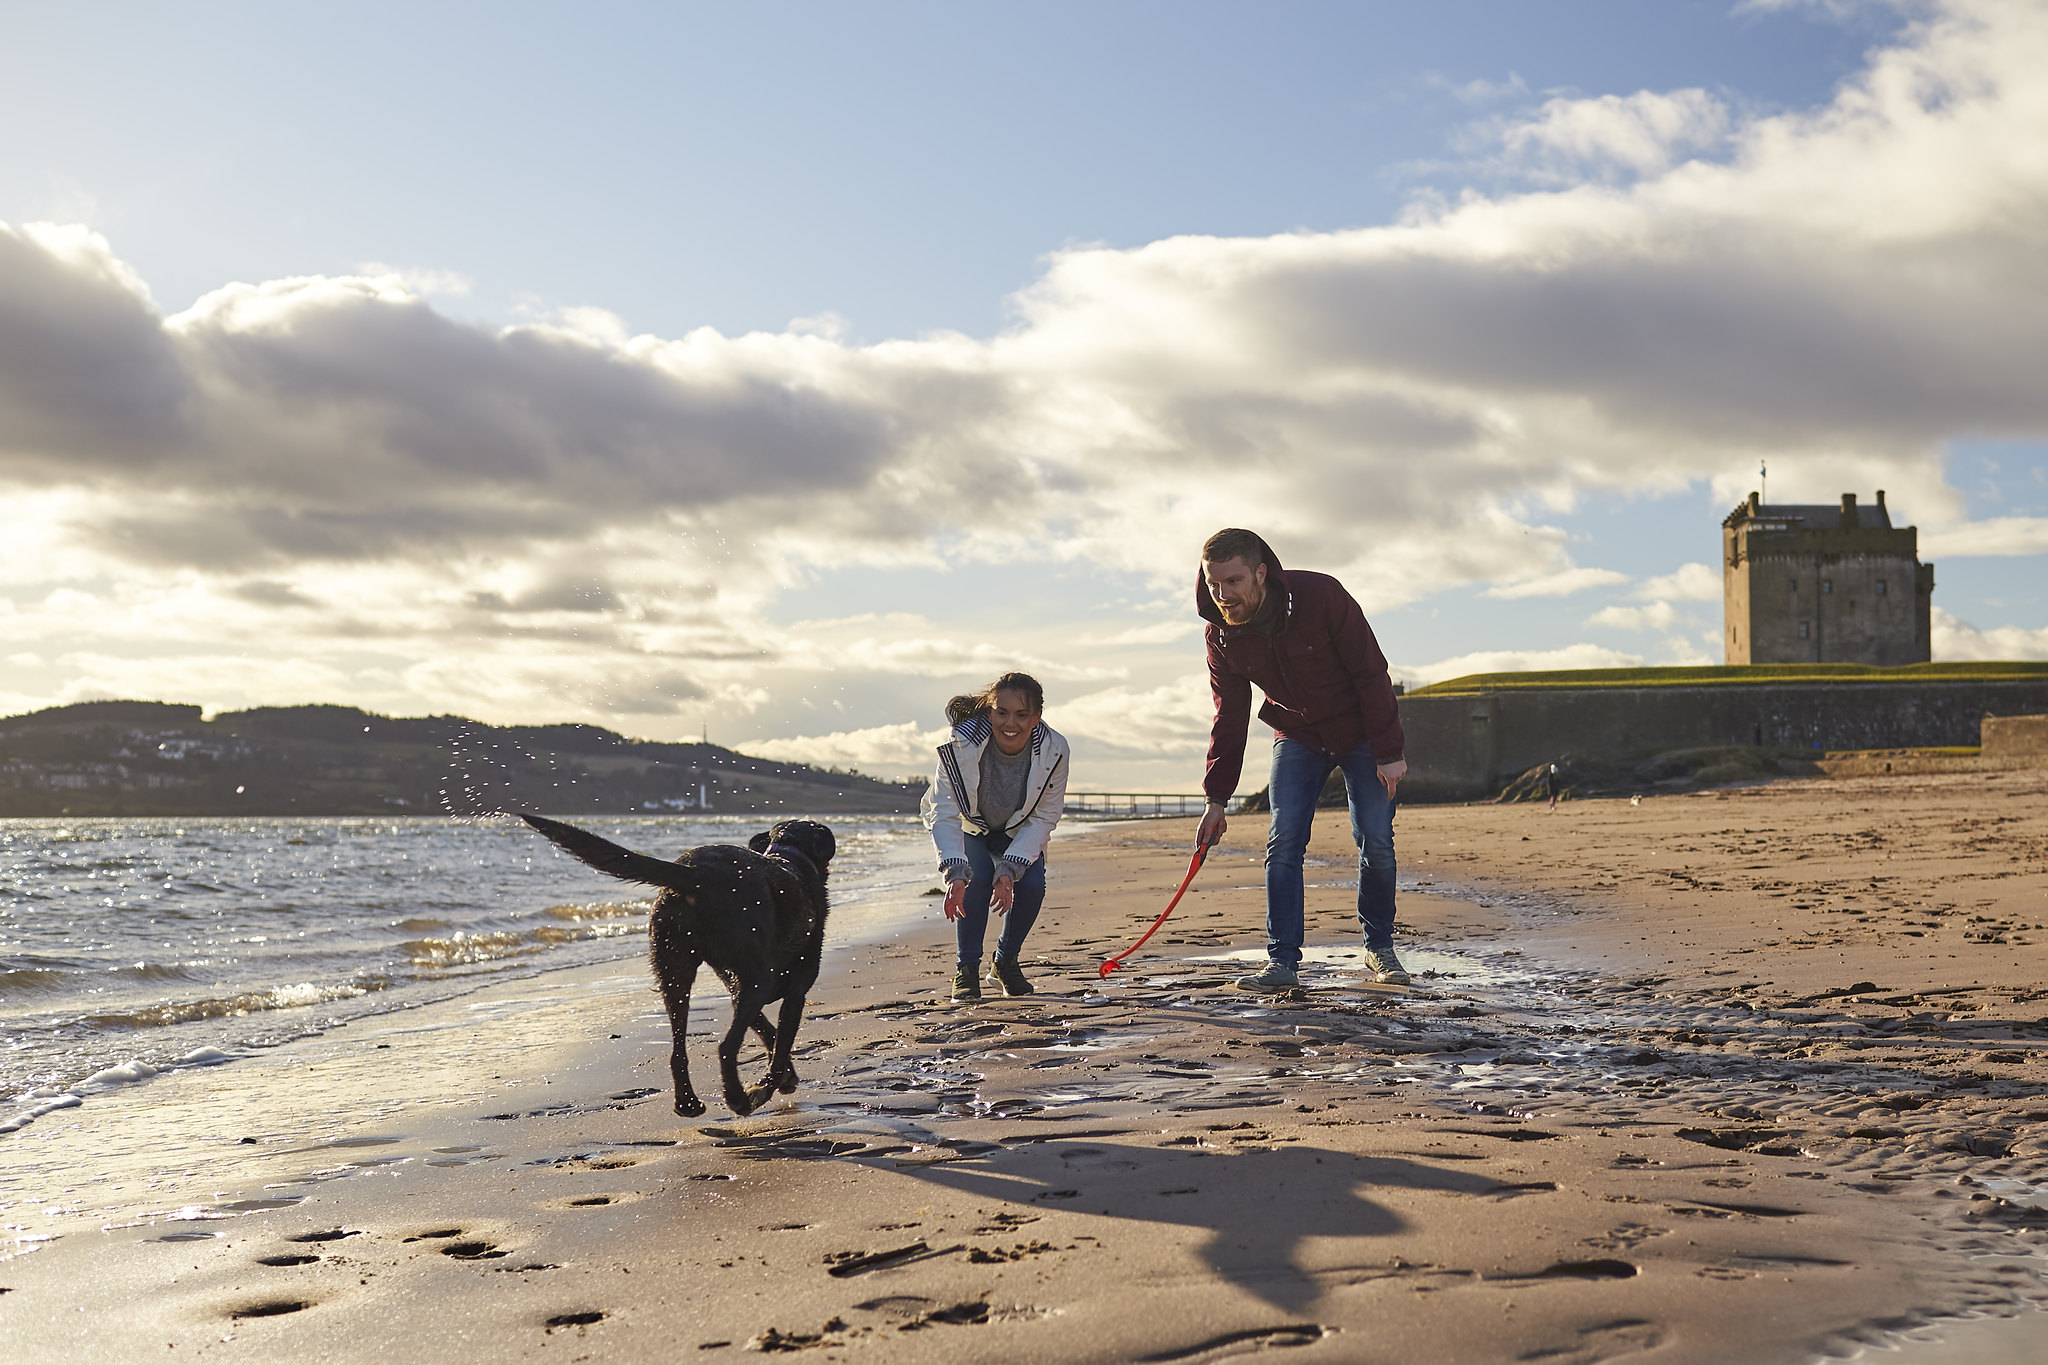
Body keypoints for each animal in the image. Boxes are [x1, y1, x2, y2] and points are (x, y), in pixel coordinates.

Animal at [524, 818, 835, 1113]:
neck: (788, 854)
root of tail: (695, 874)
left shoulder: (738, 989)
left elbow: (769, 1033)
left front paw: (786, 1077)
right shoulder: (794, 993)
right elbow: (780, 1048)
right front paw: (771, 1084)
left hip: (673, 970)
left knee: (677, 1051)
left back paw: (688, 1103)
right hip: (756, 980)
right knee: (726, 1047)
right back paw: (739, 1099)